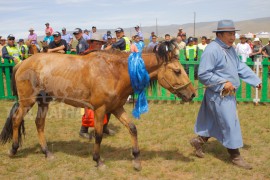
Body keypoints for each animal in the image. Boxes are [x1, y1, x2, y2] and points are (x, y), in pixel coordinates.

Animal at [0, 39, 194, 170]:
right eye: (177, 71)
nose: (192, 93)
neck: (115, 71)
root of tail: (23, 63)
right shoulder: (100, 110)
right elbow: (99, 135)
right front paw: (98, 160)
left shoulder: (116, 108)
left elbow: (132, 128)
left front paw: (136, 159)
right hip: (27, 102)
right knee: (17, 120)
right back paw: (14, 150)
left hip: (43, 102)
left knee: (39, 124)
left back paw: (46, 152)